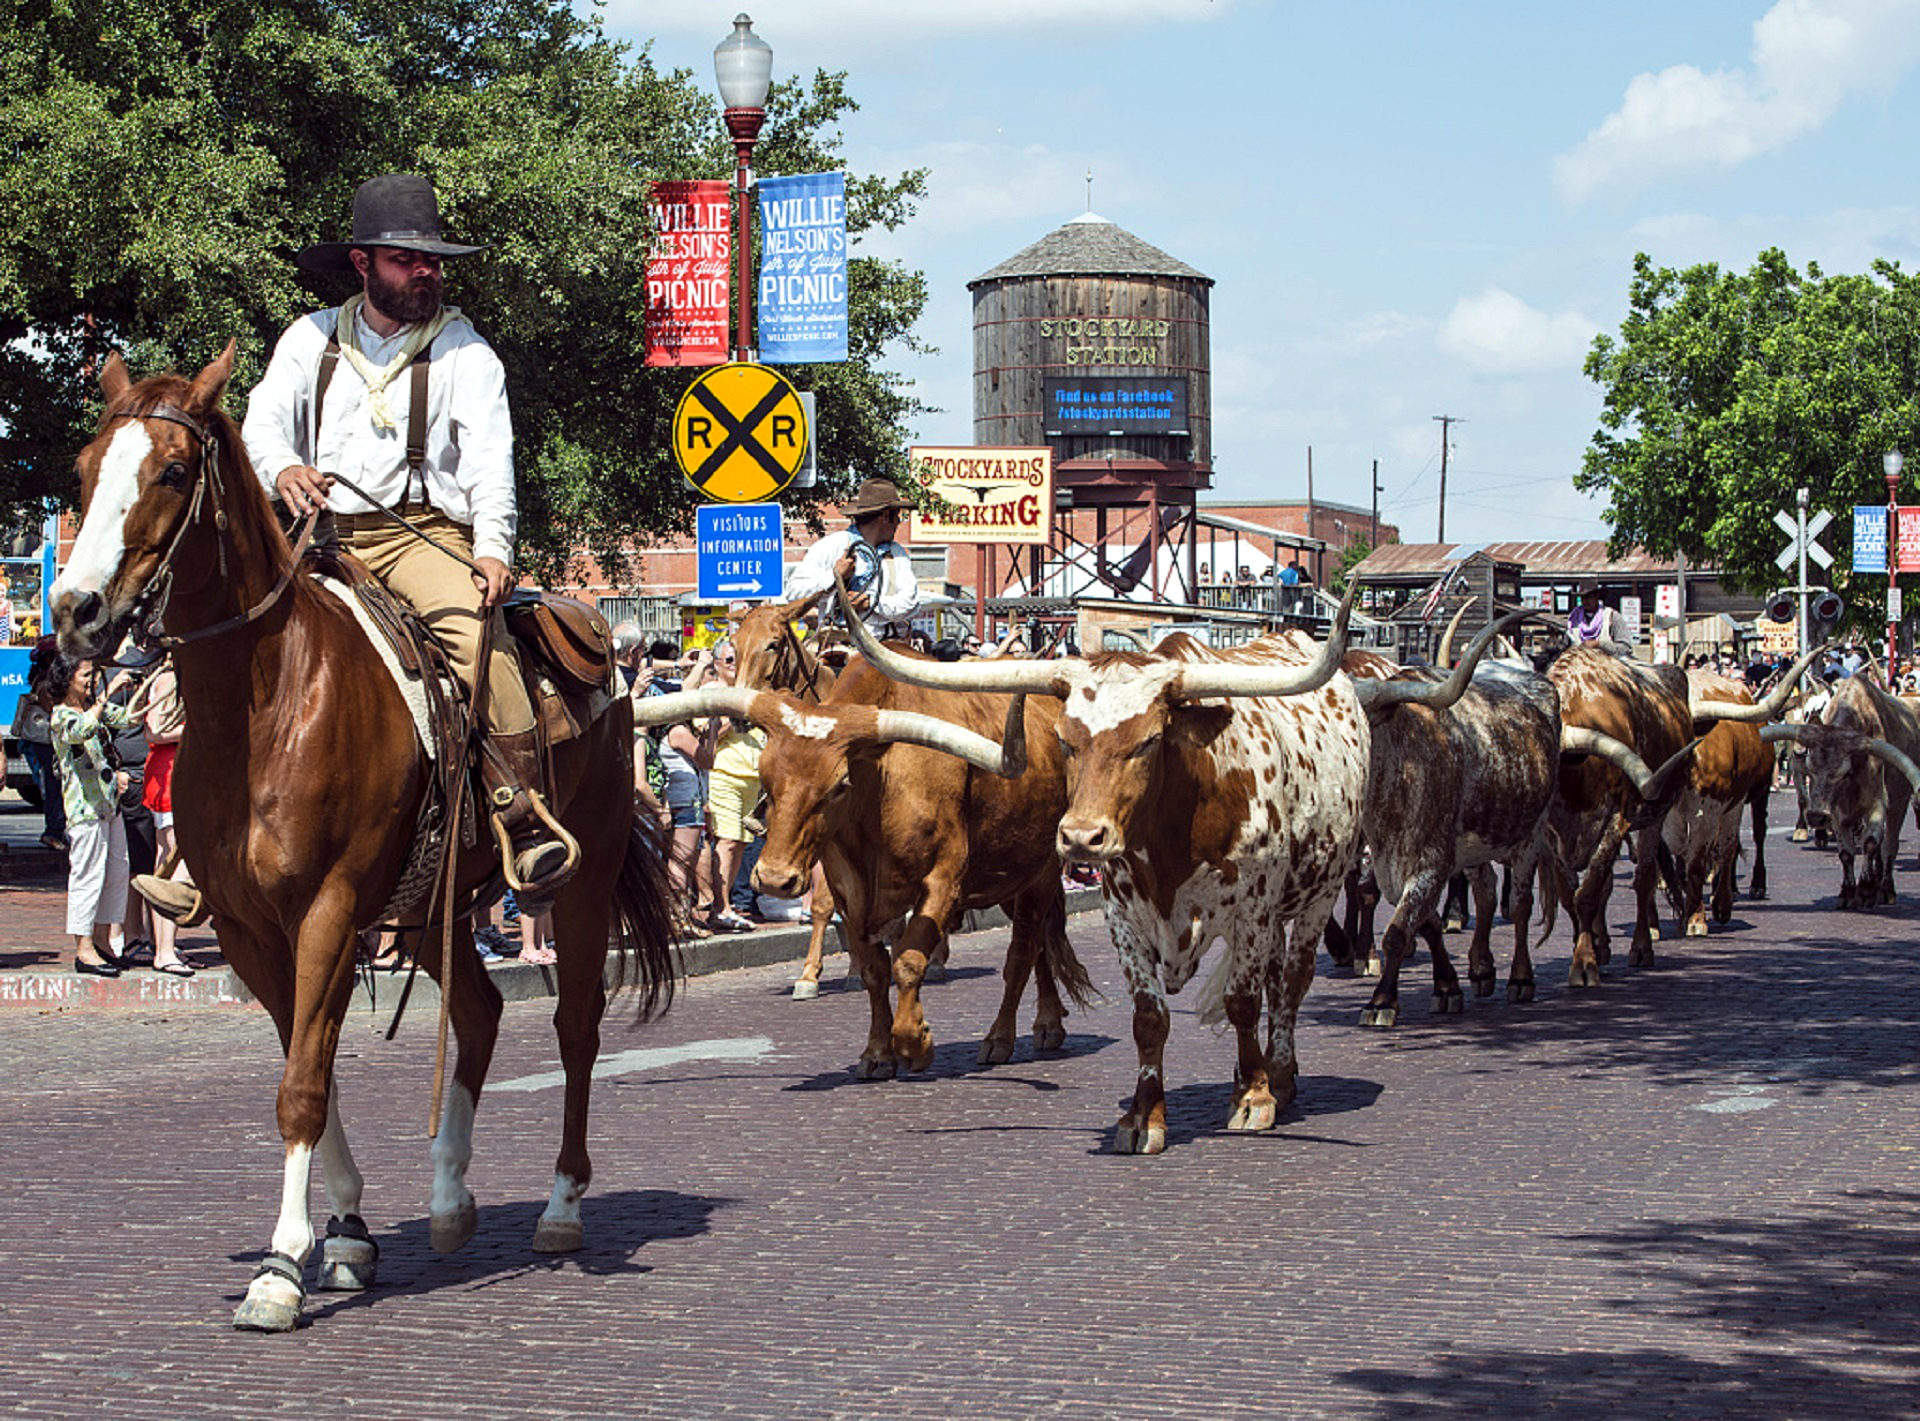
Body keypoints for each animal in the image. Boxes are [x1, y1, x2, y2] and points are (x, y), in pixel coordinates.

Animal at [48, 343, 679, 1328]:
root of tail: (605, 659)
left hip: (579, 879)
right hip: (434, 905)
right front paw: (344, 1235)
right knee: (481, 1012)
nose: (75, 610)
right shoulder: (252, 929)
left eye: (175, 470)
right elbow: (313, 1063)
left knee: (576, 1026)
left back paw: (562, 1206)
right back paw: (450, 1200)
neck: (266, 699)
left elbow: (303, 1082)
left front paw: (280, 1266)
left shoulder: (329, 911)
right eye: (82, 470)